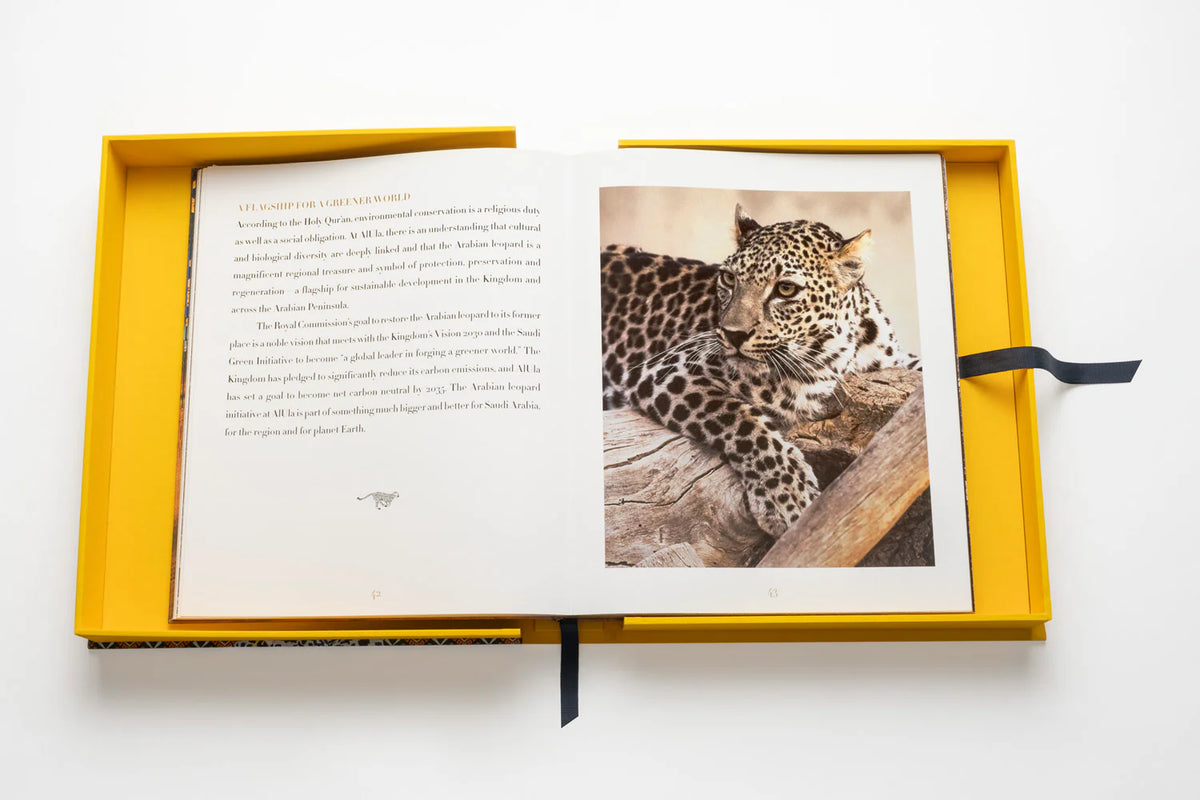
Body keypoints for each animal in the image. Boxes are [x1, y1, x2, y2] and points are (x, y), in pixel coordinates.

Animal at [601, 205, 919, 538]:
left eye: (786, 289)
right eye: (729, 278)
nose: (733, 334)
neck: (843, 350)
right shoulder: (667, 370)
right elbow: (740, 419)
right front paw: (787, 497)